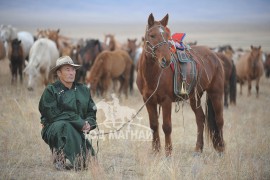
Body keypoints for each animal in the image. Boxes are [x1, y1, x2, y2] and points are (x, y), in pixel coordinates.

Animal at [136, 13, 225, 156]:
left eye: (168, 36)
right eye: (152, 35)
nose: (166, 60)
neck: (152, 74)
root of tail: (214, 55)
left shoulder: (166, 101)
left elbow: (166, 127)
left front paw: (168, 153)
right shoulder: (148, 100)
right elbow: (154, 125)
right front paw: (155, 151)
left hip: (216, 93)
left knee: (219, 120)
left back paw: (221, 149)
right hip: (195, 96)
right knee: (200, 118)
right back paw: (198, 149)